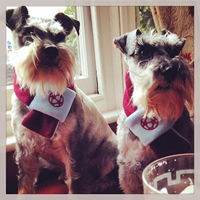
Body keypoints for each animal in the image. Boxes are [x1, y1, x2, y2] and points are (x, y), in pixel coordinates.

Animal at [7, 5, 118, 194]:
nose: (51, 49)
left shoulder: (73, 148)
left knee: (108, 176)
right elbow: (25, 182)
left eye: (59, 36)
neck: (42, 92)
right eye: (29, 33)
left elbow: (76, 182)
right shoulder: (25, 148)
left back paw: (97, 184)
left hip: (108, 152)